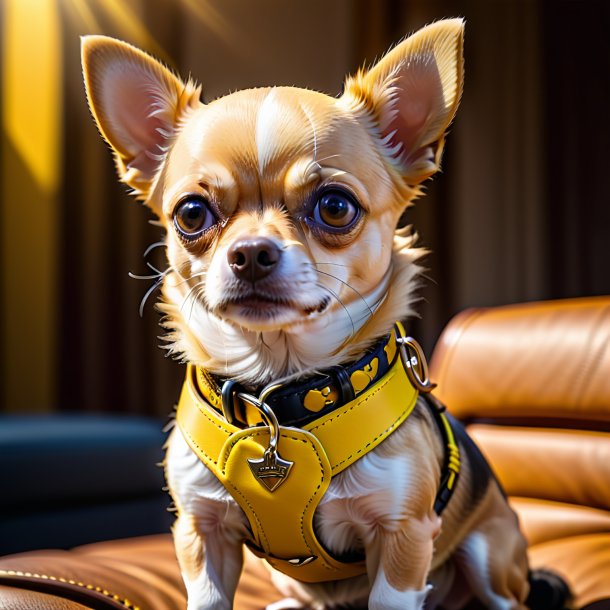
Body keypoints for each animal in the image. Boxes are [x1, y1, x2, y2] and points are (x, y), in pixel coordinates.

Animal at [82, 19, 568, 608]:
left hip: (489, 552)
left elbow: (391, 595)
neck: (277, 395)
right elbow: (207, 595)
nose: (251, 252)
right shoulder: (202, 531)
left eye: (336, 206)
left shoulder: (403, 535)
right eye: (191, 214)